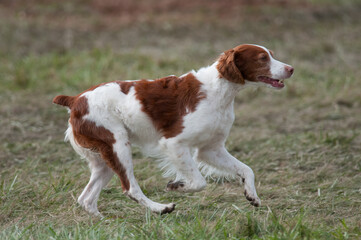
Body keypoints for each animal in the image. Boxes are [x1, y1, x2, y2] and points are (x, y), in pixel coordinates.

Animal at [52, 44, 292, 217]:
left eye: (271, 55)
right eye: (262, 58)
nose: (291, 69)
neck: (219, 90)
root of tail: (76, 99)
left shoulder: (211, 149)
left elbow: (246, 169)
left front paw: (252, 195)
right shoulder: (173, 143)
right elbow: (199, 182)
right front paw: (178, 186)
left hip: (105, 158)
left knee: (86, 199)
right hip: (118, 145)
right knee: (130, 188)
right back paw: (161, 208)